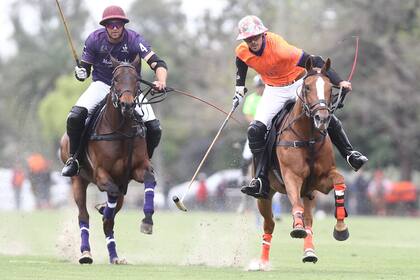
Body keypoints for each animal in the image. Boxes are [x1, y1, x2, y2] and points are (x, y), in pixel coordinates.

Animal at [59, 55, 158, 264]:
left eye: (136, 79)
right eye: (116, 79)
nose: (127, 105)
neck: (122, 130)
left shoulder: (139, 169)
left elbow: (149, 180)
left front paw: (147, 221)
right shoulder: (101, 175)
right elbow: (109, 201)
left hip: (122, 184)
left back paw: (114, 256)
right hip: (78, 180)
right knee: (83, 216)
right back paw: (86, 254)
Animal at [254, 57, 350, 270]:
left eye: (330, 88)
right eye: (307, 87)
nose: (322, 118)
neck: (308, 138)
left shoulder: (321, 181)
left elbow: (339, 180)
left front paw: (341, 228)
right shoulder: (291, 176)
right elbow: (294, 204)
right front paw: (296, 227)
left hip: (309, 193)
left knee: (309, 220)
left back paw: (309, 253)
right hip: (265, 195)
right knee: (269, 224)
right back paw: (262, 262)